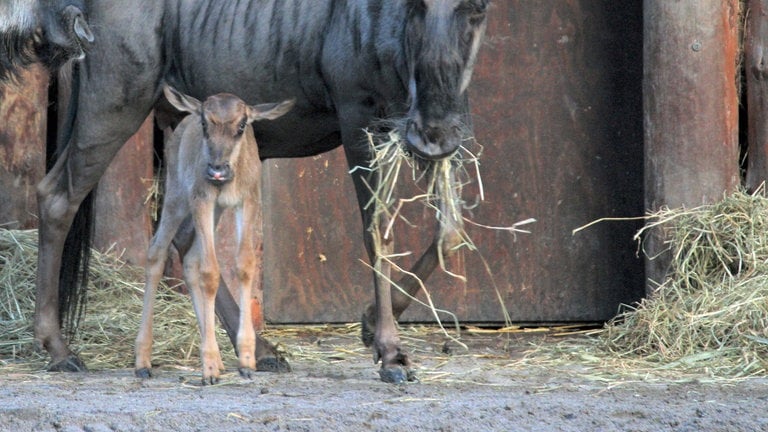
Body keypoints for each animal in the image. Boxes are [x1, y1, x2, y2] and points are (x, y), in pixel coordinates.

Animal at [135, 85, 294, 384]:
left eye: (242, 125)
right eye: (205, 123)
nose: (216, 170)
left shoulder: (246, 201)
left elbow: (244, 265)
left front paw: (246, 361)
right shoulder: (202, 200)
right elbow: (210, 272)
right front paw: (207, 368)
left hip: (217, 212)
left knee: (190, 260)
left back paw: (219, 362)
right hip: (176, 198)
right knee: (156, 253)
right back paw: (143, 361)